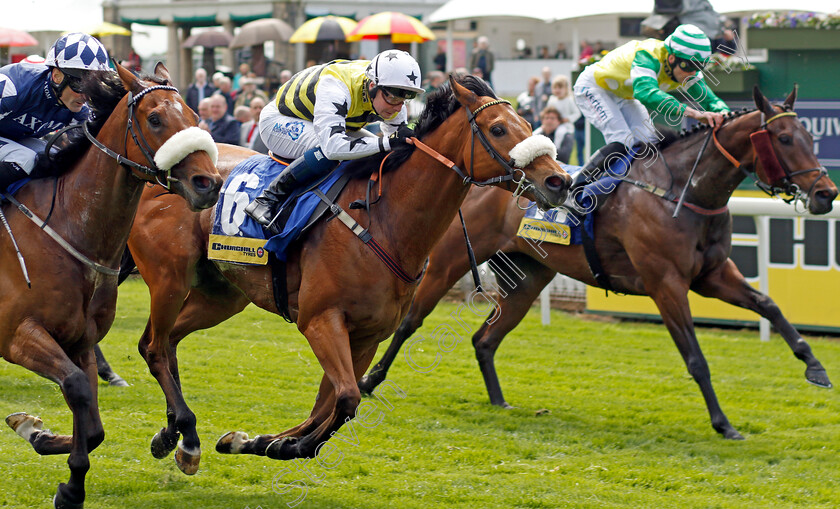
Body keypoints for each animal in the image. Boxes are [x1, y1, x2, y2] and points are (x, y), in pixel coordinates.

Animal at [0, 64, 221, 508]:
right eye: (155, 119)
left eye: (194, 114)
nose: (209, 182)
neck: (67, 229)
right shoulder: (17, 334)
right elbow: (77, 389)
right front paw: (70, 485)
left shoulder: (80, 340)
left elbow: (93, 426)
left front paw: (39, 433)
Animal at [118, 76, 572, 472]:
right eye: (498, 128)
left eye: (529, 125)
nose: (559, 180)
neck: (385, 221)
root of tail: (161, 174)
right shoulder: (320, 320)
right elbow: (348, 399)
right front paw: (289, 446)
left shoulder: (367, 335)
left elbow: (329, 403)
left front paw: (261, 441)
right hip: (170, 279)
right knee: (154, 346)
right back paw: (184, 434)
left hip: (221, 295)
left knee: (166, 342)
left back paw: (174, 434)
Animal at [358, 85, 836, 438]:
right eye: (785, 139)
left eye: (811, 138)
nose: (826, 193)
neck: (682, 190)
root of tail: (481, 179)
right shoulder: (666, 284)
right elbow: (695, 358)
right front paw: (723, 424)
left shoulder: (712, 275)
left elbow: (769, 305)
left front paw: (815, 367)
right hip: (449, 261)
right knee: (410, 322)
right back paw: (369, 382)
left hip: (528, 277)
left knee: (485, 339)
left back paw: (499, 402)